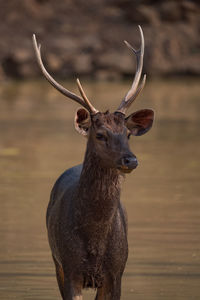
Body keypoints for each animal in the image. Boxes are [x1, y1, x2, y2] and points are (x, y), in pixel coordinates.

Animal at [32, 25, 155, 300]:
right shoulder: (69, 268)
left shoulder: (116, 272)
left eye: (128, 134)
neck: (95, 245)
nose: (130, 159)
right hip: (55, 259)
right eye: (100, 134)